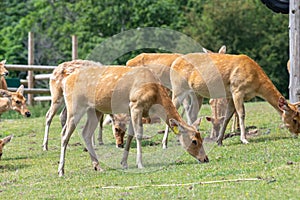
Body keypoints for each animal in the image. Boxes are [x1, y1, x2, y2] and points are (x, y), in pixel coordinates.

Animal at [58, 64, 209, 177]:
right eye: (194, 141)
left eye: (201, 138)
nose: (205, 159)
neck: (155, 95)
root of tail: (65, 82)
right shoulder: (136, 104)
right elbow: (138, 134)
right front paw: (140, 164)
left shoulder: (131, 110)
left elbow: (130, 134)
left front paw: (124, 163)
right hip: (74, 106)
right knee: (65, 134)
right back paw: (61, 171)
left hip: (94, 110)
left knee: (86, 133)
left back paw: (97, 166)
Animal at [170, 52, 300, 146]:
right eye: (294, 119)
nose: (297, 133)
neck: (257, 83)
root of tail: (173, 63)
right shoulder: (237, 90)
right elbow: (241, 113)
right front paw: (244, 139)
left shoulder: (231, 96)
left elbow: (228, 116)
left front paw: (219, 141)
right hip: (178, 89)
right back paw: (166, 144)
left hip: (195, 93)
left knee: (191, 113)